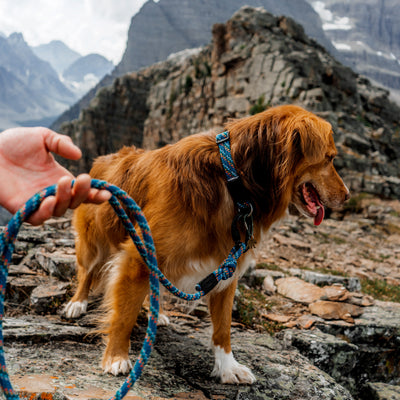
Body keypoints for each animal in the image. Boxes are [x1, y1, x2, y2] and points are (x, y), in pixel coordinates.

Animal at [64, 104, 348, 382]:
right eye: (330, 158)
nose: (347, 196)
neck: (234, 179)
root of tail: (101, 160)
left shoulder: (226, 265)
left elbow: (223, 327)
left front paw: (228, 367)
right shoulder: (138, 256)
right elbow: (123, 315)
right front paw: (116, 357)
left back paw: (158, 313)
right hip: (94, 243)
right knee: (87, 272)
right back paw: (77, 304)